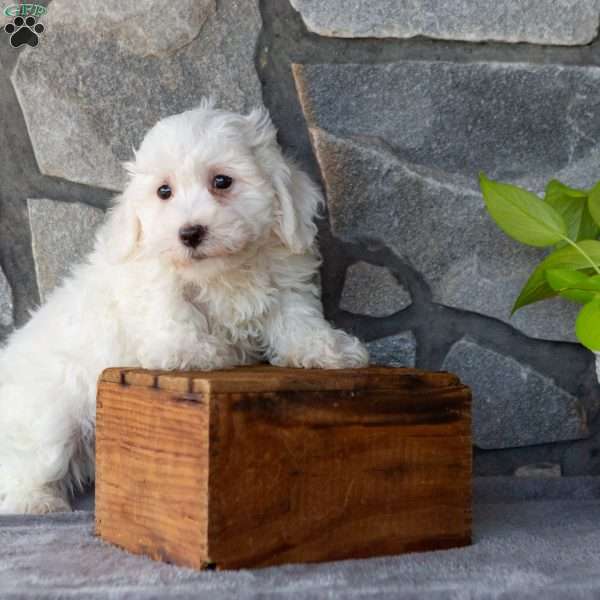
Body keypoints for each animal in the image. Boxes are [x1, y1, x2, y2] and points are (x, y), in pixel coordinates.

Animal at [0, 101, 368, 512]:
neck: (221, 272)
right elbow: (171, 308)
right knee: (23, 468)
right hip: (49, 419)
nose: (190, 233)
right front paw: (195, 352)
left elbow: (297, 318)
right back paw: (36, 502)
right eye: (164, 191)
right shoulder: (153, 278)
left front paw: (328, 350)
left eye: (222, 181)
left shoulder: (284, 279)